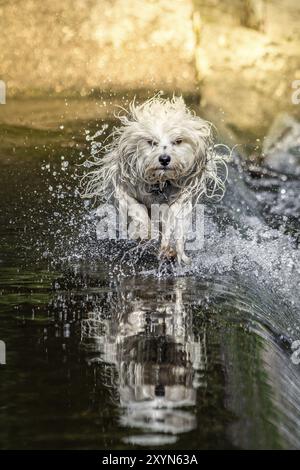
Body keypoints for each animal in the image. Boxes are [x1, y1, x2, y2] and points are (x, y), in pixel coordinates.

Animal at [82, 95, 227, 264]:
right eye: (151, 142)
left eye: (178, 141)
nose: (164, 159)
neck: (160, 183)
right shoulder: (123, 189)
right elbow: (138, 210)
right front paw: (147, 232)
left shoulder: (180, 200)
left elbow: (172, 224)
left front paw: (170, 249)